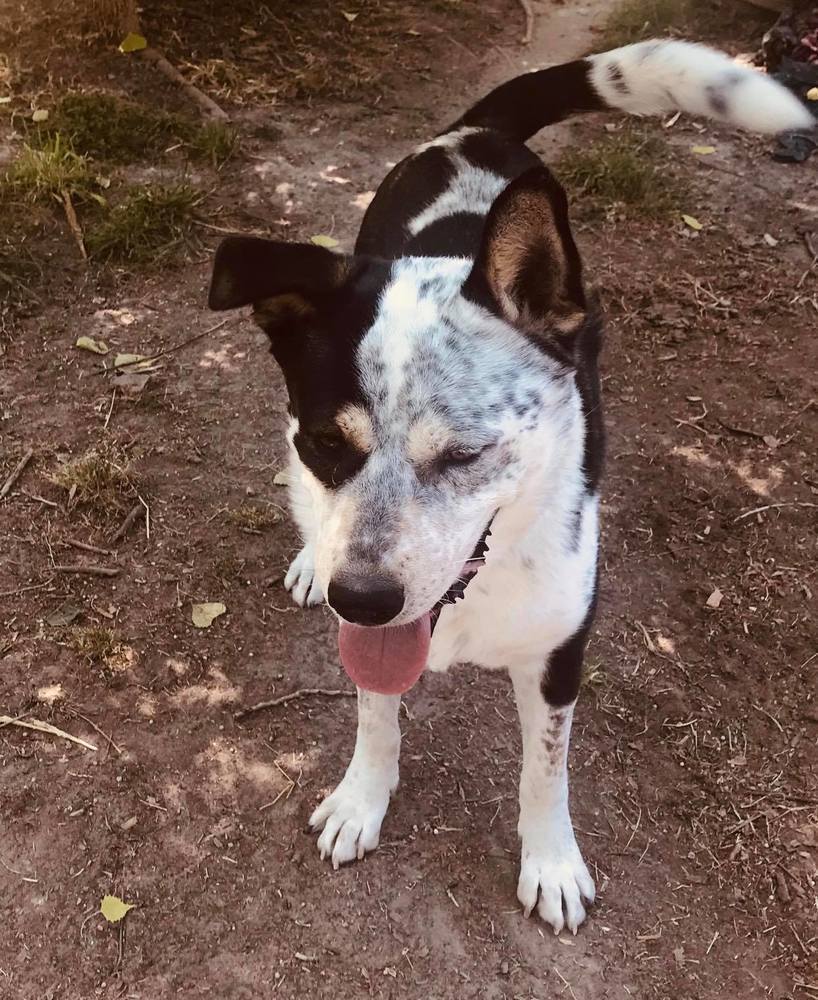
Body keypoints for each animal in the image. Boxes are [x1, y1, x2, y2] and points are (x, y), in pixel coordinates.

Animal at [207, 43, 808, 932]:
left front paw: (551, 863)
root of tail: (476, 132)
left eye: (465, 455)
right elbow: (376, 716)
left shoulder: (559, 654)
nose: (362, 600)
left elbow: (545, 771)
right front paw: (363, 799)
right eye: (325, 442)